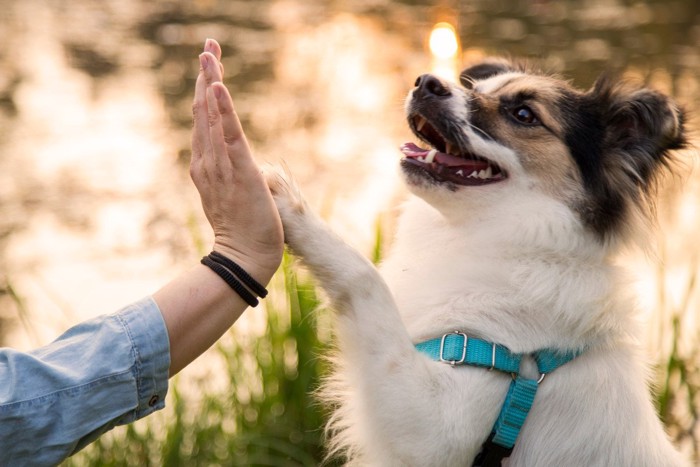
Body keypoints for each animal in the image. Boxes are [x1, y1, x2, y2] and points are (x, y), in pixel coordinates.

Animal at [266, 59, 688, 467]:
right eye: (479, 89)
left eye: (523, 114)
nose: (425, 83)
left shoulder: (439, 424)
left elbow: (364, 279)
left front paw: (289, 205)